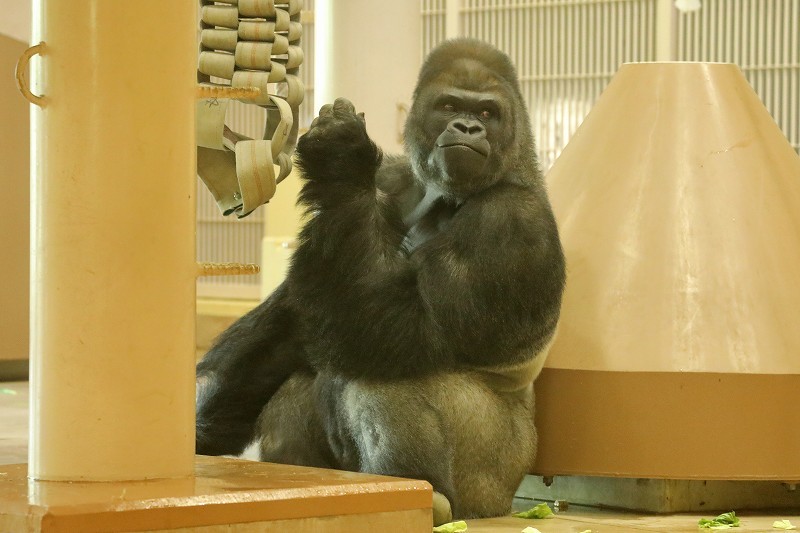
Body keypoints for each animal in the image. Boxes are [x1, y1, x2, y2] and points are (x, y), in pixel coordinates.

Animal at [196, 39, 564, 520]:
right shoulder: (392, 177)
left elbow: (390, 324)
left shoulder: (512, 220)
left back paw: (427, 492)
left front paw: (338, 156)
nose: (468, 127)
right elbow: (295, 315)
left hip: (492, 481)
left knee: (381, 365)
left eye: (488, 113)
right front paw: (205, 417)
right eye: (450, 106)